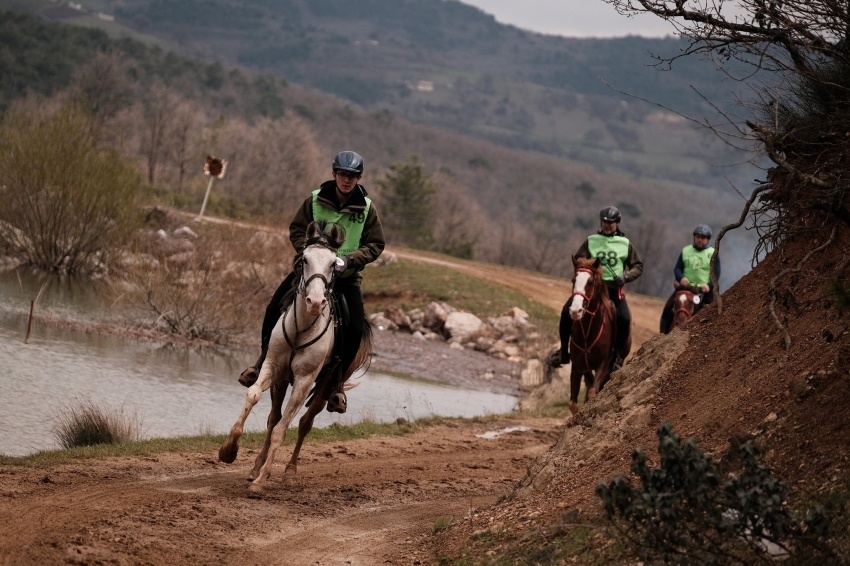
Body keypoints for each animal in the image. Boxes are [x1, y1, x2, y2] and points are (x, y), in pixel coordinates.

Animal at [217, 222, 370, 496]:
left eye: (334, 264)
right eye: (304, 259)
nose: (315, 302)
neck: (302, 327)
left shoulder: (304, 381)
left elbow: (283, 429)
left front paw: (262, 480)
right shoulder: (273, 367)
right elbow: (254, 398)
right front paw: (229, 451)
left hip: (325, 388)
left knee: (305, 423)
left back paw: (289, 471)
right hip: (280, 382)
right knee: (273, 417)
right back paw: (255, 466)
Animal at [564, 258, 628, 418]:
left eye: (590, 282)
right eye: (573, 280)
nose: (575, 311)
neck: (588, 330)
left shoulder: (603, 364)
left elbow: (593, 393)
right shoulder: (577, 366)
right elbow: (573, 404)